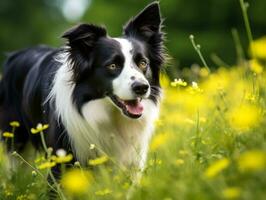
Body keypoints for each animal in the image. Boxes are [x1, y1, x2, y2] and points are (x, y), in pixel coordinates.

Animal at [0, 1, 165, 181]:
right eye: (112, 65)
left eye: (143, 63)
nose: (142, 87)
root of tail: (15, 55)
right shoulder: (61, 160)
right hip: (15, 138)